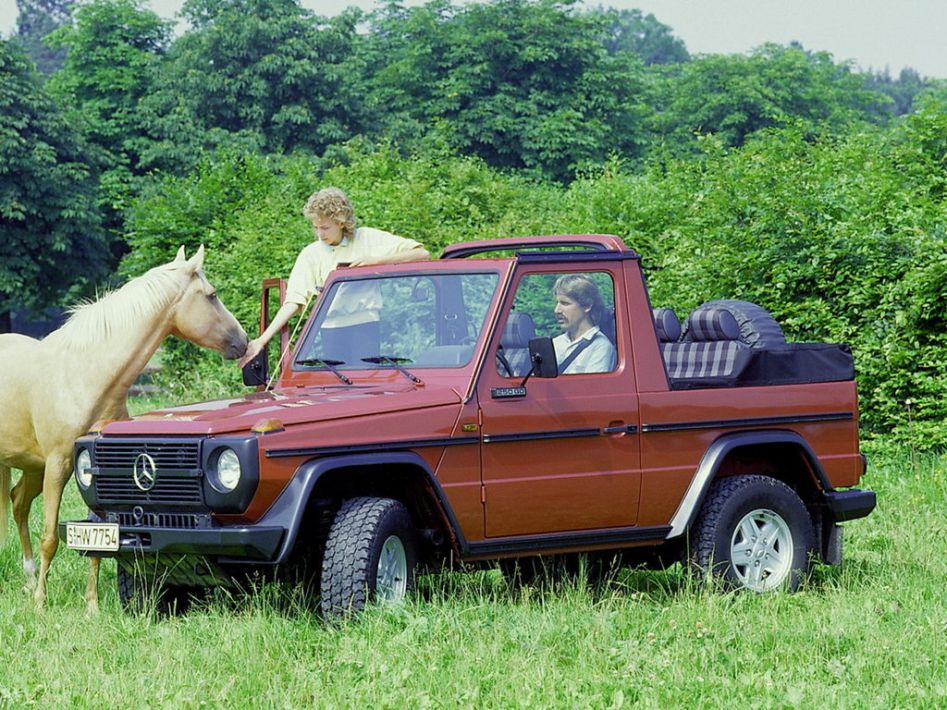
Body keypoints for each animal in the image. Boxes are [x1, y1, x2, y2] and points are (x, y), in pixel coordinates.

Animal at [0, 246, 248, 612]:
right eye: (212, 295)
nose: (244, 341)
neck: (85, 375)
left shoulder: (88, 472)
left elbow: (98, 539)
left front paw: (91, 606)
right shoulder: (59, 465)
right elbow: (50, 537)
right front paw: (41, 605)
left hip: (32, 466)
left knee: (18, 503)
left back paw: (29, 578)